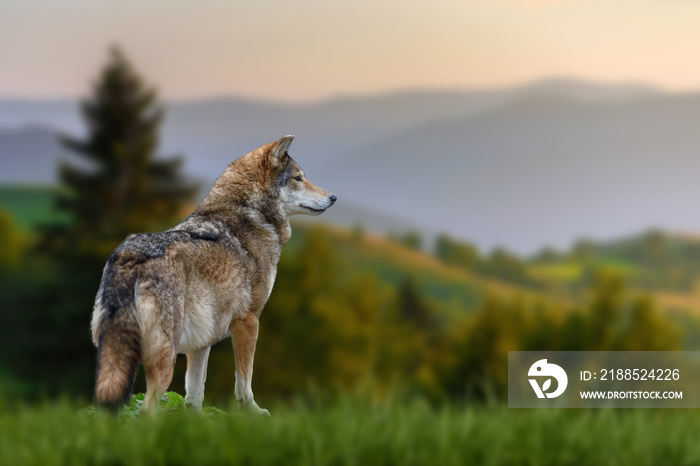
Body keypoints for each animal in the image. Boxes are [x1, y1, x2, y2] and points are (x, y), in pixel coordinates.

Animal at [90, 135, 336, 416]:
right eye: (298, 178)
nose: (333, 197)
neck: (250, 216)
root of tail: (129, 257)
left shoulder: (202, 340)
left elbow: (195, 395)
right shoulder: (248, 321)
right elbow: (244, 383)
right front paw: (254, 413)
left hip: (113, 362)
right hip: (163, 362)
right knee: (146, 410)